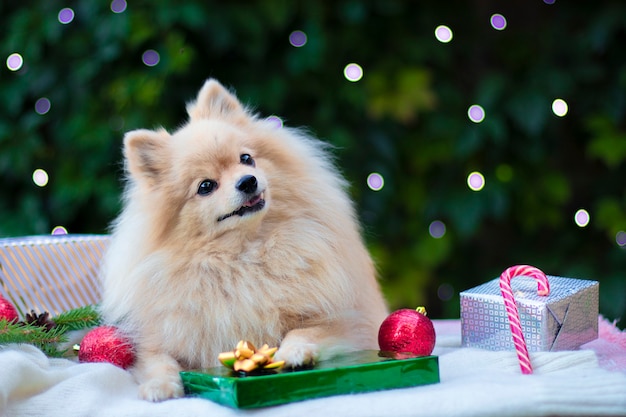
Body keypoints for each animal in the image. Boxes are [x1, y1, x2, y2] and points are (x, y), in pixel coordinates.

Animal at [98, 79, 386, 400]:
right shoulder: (159, 340)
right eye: (205, 186)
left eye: (246, 159)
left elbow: (305, 330)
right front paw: (159, 386)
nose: (248, 181)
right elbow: (159, 361)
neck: (244, 254)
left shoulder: (350, 320)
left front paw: (295, 351)